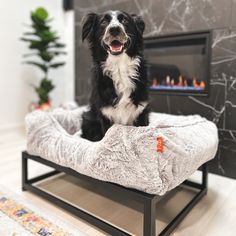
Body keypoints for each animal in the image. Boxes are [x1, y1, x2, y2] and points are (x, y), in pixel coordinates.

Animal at [81, 10, 149, 141]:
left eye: (125, 20)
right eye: (104, 22)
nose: (114, 29)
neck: (119, 67)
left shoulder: (141, 112)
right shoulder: (105, 114)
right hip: (87, 118)